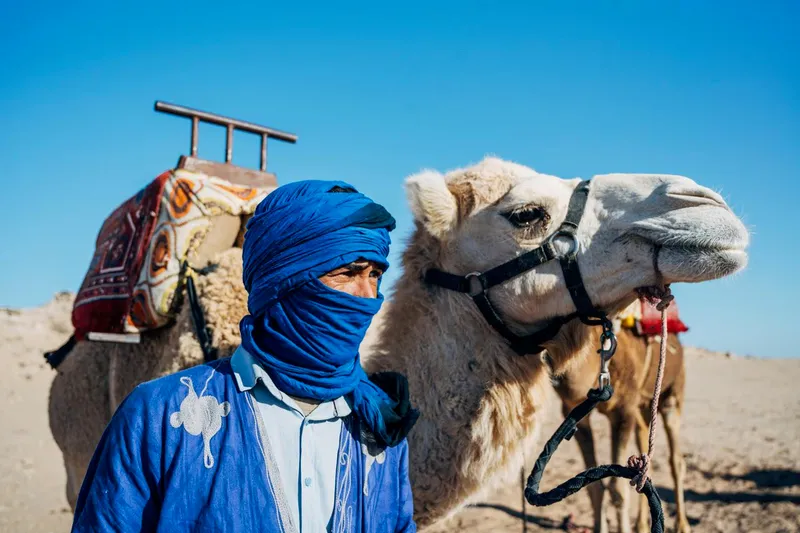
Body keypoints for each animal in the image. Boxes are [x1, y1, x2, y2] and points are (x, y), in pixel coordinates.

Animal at [549, 320, 689, 533]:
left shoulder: (624, 410)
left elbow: (618, 489)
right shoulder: (572, 410)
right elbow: (594, 485)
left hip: (673, 391)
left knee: (676, 460)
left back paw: (682, 525)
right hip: (644, 406)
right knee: (644, 449)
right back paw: (641, 525)